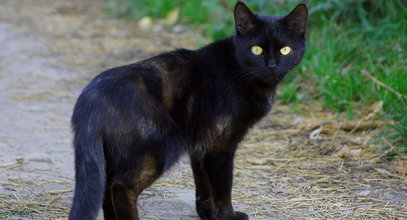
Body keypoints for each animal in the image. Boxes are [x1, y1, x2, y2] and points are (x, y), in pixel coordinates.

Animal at [68, 2, 308, 220]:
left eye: (285, 49)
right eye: (256, 49)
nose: (272, 65)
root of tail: (90, 99)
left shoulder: (202, 144)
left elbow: (204, 185)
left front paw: (208, 214)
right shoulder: (221, 144)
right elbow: (223, 187)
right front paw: (229, 216)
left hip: (115, 155)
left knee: (106, 188)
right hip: (161, 146)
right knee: (121, 186)